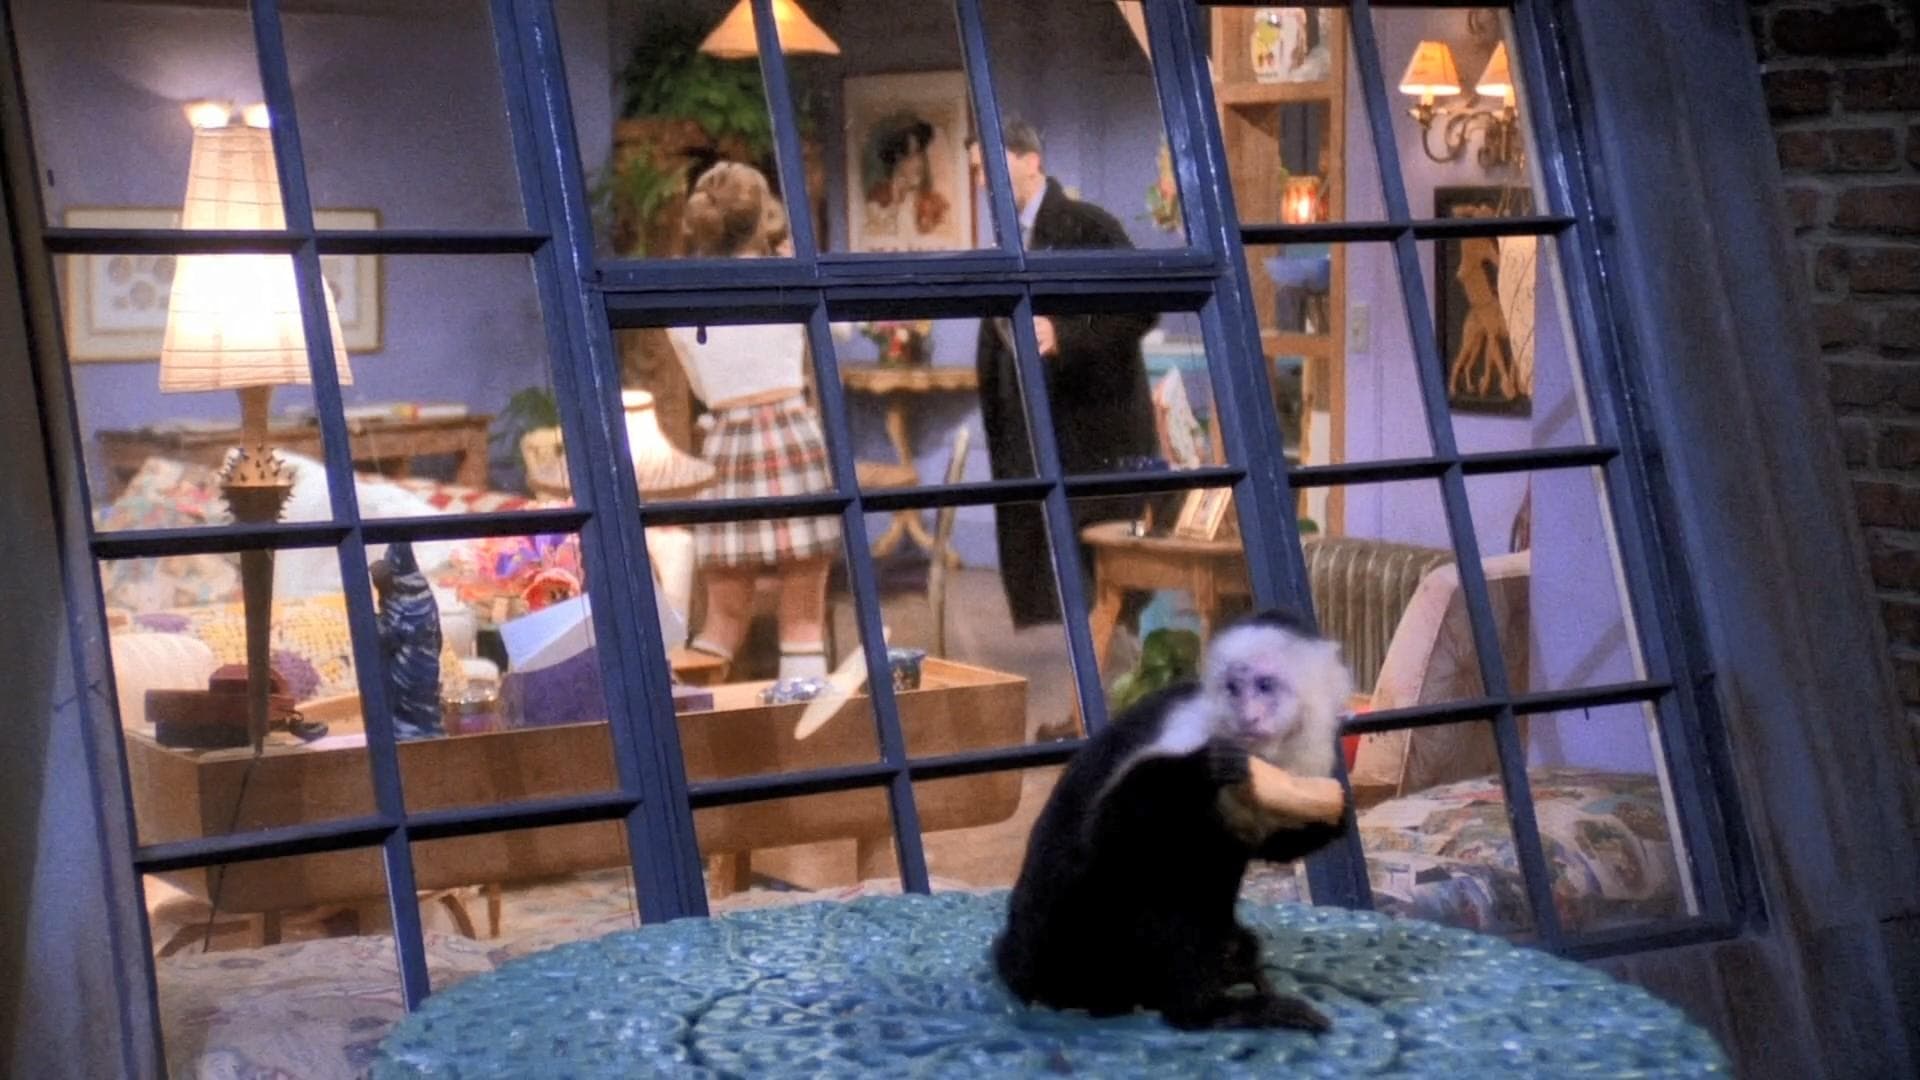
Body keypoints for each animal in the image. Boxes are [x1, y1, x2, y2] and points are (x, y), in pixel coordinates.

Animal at [993, 609, 1355, 1032]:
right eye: (1233, 689)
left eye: (1264, 686)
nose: (1247, 717)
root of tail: (1018, 965)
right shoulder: (1193, 727)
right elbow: (1109, 833)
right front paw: (1205, 767)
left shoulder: (1304, 762)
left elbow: (1272, 843)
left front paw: (1337, 816)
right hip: (1081, 946)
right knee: (1158, 884)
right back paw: (1208, 1009)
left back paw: (1234, 963)